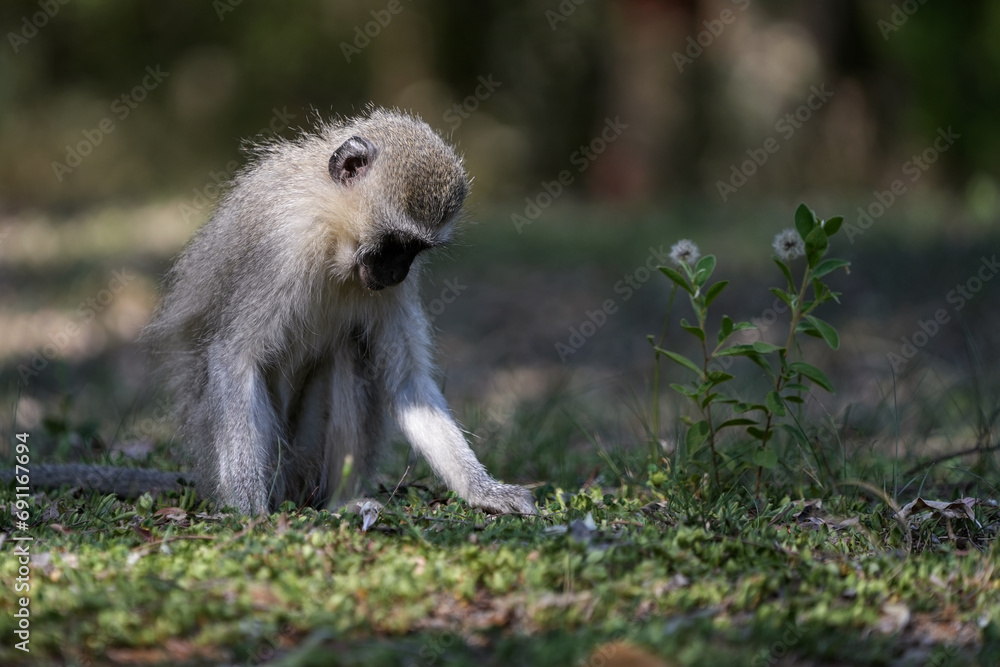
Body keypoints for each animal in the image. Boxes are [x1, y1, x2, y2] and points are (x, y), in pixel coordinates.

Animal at [5, 109, 536, 517]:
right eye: (394, 244)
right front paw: (249, 511)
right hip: (268, 458)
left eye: (415, 251)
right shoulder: (281, 248)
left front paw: (484, 490)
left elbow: (407, 382)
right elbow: (235, 357)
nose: (397, 273)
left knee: (352, 354)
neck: (332, 238)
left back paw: (342, 503)